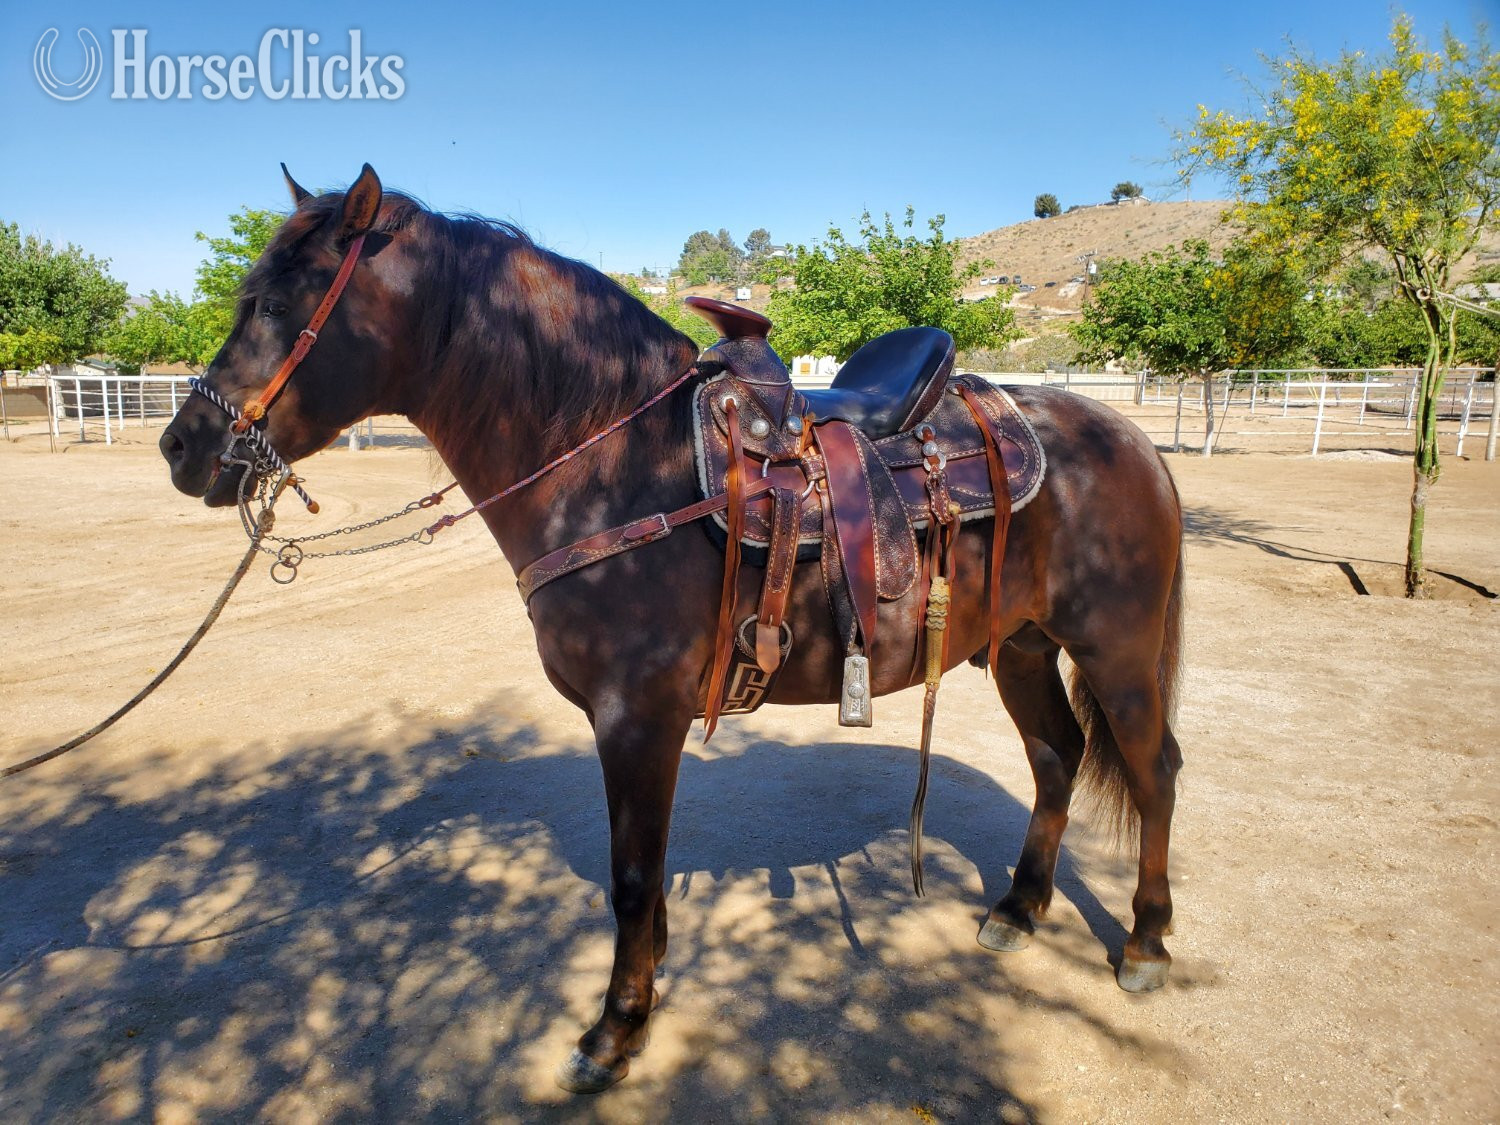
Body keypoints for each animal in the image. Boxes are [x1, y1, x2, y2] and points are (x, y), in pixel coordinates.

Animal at [159, 165, 1185, 1094]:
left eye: (276, 305)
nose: (182, 447)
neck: (616, 463)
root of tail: (1128, 438)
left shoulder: (636, 717)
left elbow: (630, 876)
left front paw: (612, 1032)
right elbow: (646, 884)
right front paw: (644, 997)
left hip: (1117, 650)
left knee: (1152, 768)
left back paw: (1144, 942)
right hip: (1023, 647)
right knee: (1056, 756)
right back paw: (1018, 906)